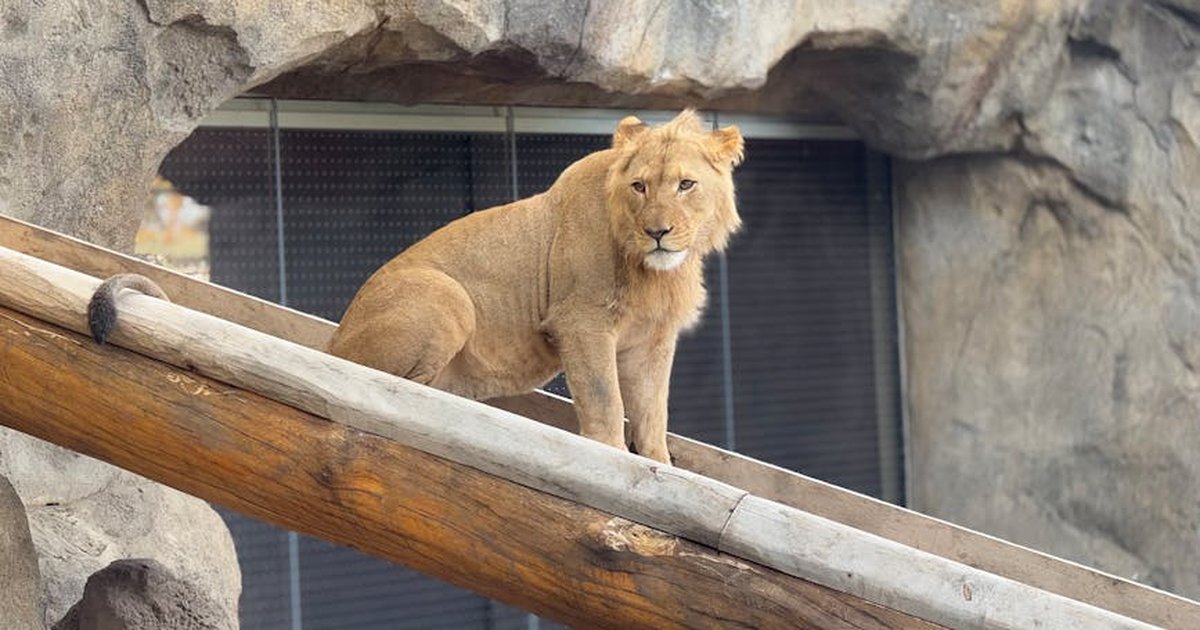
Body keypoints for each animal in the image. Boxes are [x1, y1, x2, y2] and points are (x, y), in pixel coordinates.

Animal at [89, 110, 744, 464]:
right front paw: (610, 457)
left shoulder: (652, 340)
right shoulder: (581, 321)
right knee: (396, 386)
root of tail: (334, 342)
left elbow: (652, 410)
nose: (658, 231)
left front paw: (659, 464)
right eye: (640, 186)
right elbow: (606, 403)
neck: (653, 271)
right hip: (445, 297)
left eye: (686, 185)